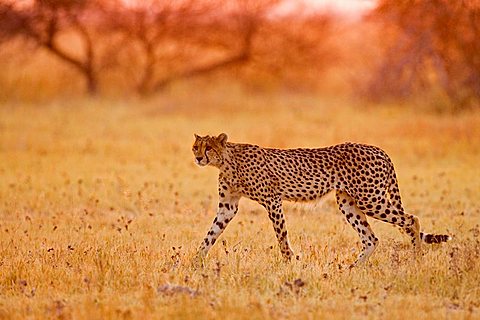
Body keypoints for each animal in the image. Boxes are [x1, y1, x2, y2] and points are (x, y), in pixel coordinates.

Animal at [191, 132, 450, 264]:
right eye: (196, 147)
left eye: (208, 147)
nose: (198, 158)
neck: (226, 161)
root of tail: (380, 149)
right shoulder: (228, 207)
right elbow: (211, 234)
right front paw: (195, 261)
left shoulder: (273, 200)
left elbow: (281, 235)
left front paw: (289, 261)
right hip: (347, 202)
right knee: (371, 238)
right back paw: (353, 269)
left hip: (370, 199)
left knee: (411, 220)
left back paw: (417, 260)